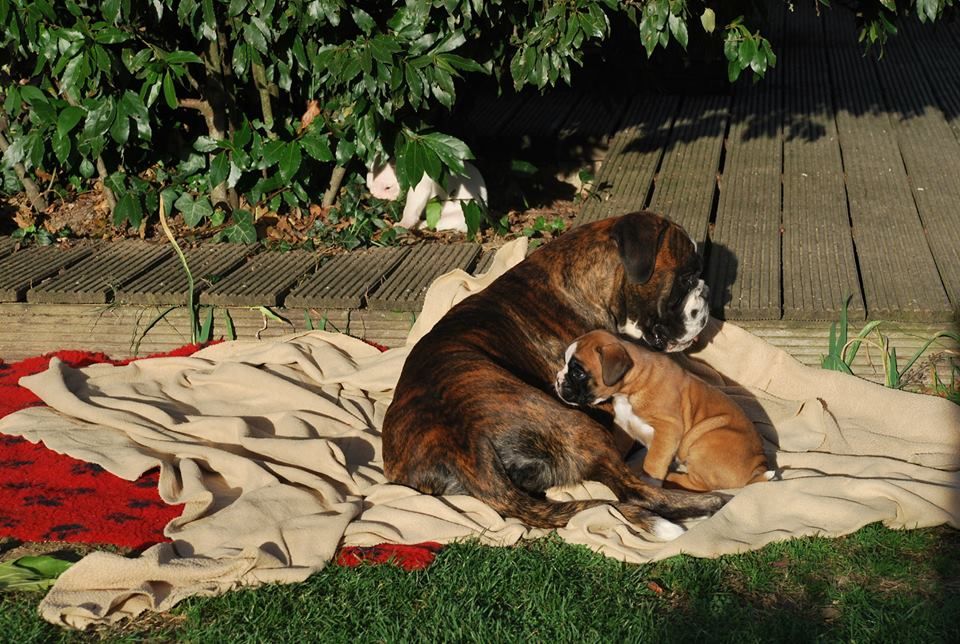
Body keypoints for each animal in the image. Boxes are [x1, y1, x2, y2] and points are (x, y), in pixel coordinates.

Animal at [382, 211, 728, 540]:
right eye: (686, 277)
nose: (705, 289)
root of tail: (463, 447)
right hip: (579, 426)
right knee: (635, 490)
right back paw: (709, 504)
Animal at [556, 330, 772, 490]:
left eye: (578, 372)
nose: (558, 379)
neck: (632, 386)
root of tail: (757, 467)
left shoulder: (668, 429)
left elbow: (653, 462)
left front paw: (649, 480)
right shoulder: (623, 425)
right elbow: (620, 446)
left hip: (704, 442)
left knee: (699, 485)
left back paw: (672, 477)